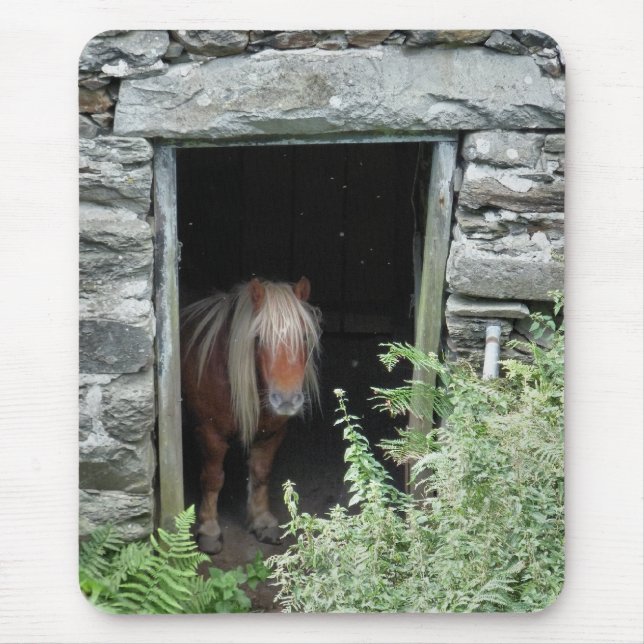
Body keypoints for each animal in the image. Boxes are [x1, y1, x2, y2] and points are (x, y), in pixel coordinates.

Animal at [180, 277, 322, 554]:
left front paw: (261, 520)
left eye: (303, 336)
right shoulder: (211, 434)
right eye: (258, 338)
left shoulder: (271, 433)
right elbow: (212, 479)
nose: (287, 400)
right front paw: (209, 528)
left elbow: (260, 473)